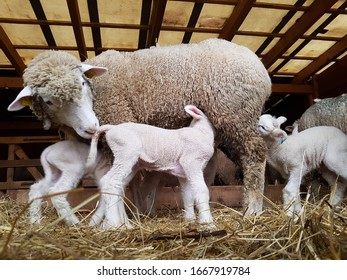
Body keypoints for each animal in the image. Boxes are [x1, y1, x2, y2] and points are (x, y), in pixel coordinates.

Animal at [8, 38, 274, 217]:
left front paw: (131, 214)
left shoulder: (119, 121)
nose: (92, 126)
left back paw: (253, 208)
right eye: (48, 101)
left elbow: (126, 179)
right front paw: (140, 212)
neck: (97, 91)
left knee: (255, 155)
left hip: (236, 115)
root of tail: (259, 66)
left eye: (83, 83)